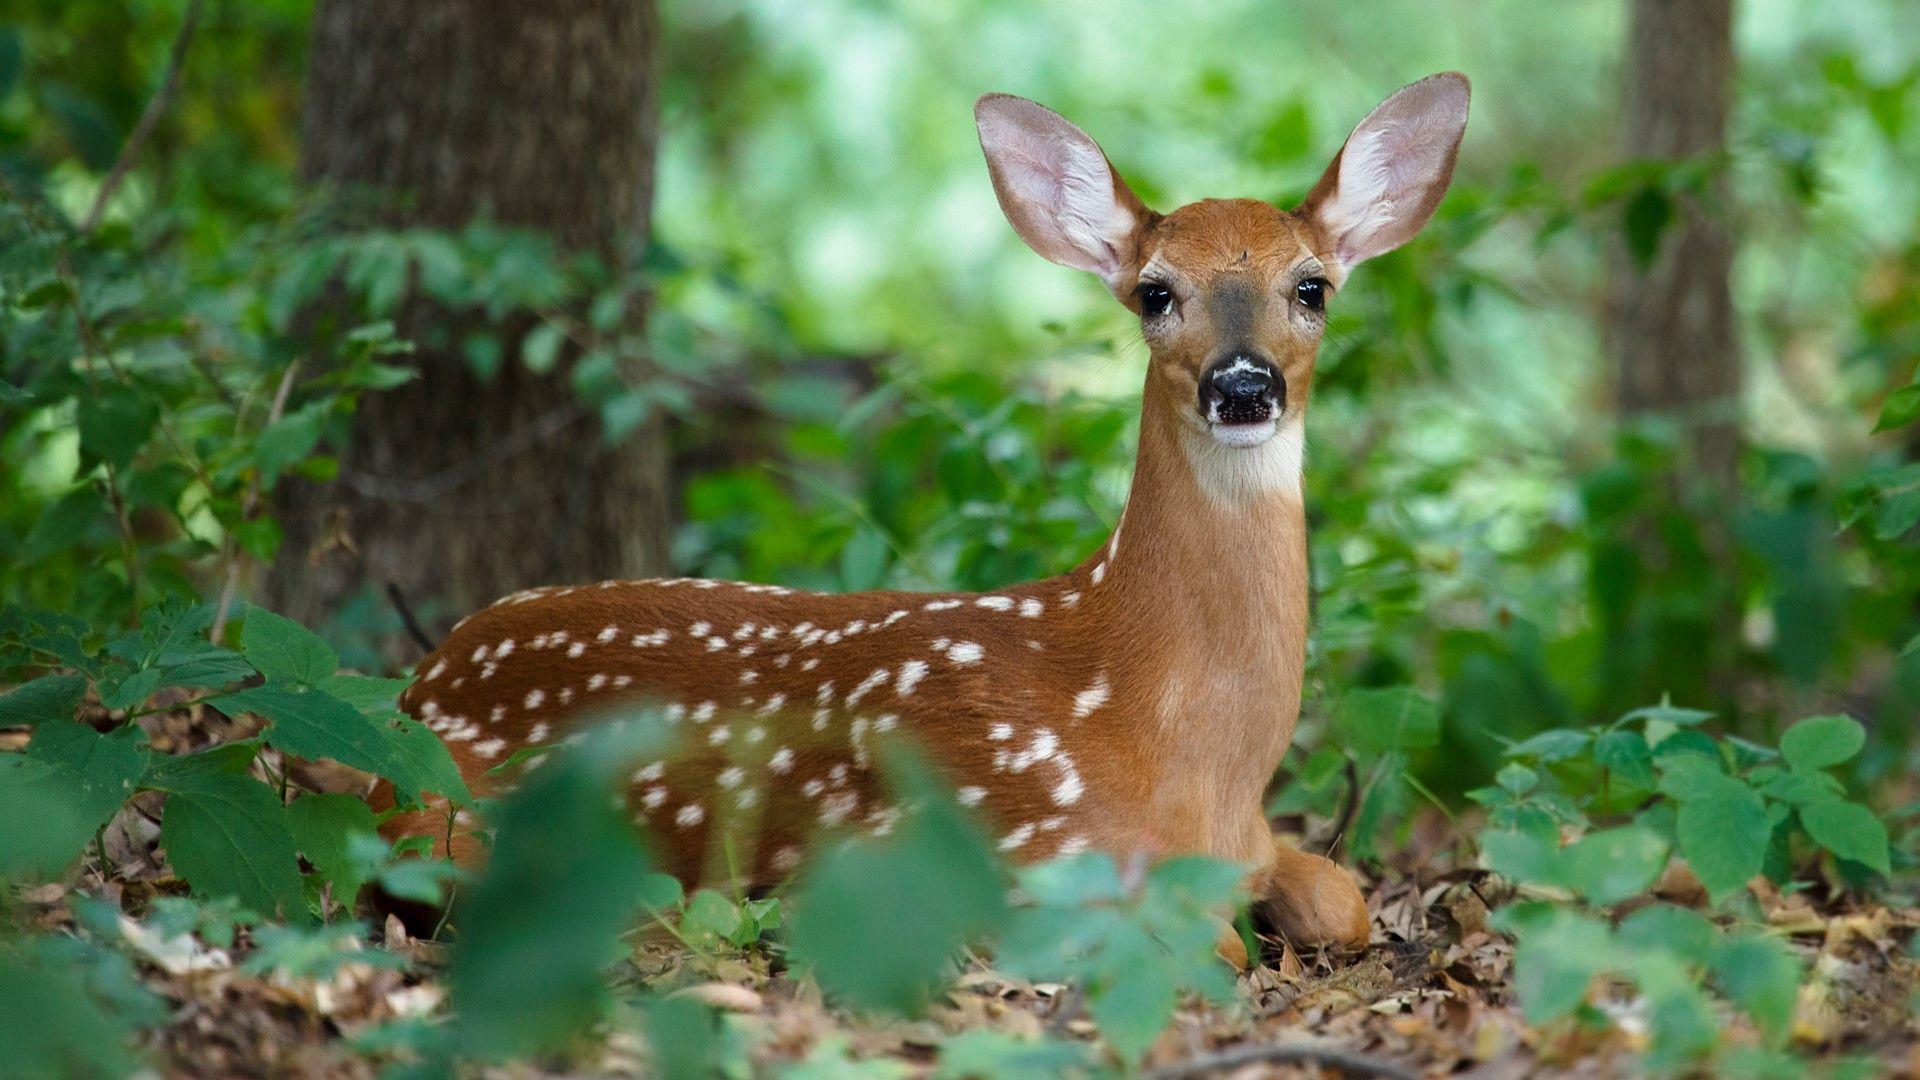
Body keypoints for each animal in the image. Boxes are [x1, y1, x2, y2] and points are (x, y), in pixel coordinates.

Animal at [380, 73, 1470, 957]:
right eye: (1156, 294)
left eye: (1312, 287)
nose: (1242, 386)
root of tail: (421, 684)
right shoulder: (1009, 855)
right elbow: (1216, 947)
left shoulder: (1254, 843)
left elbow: (1343, 902)